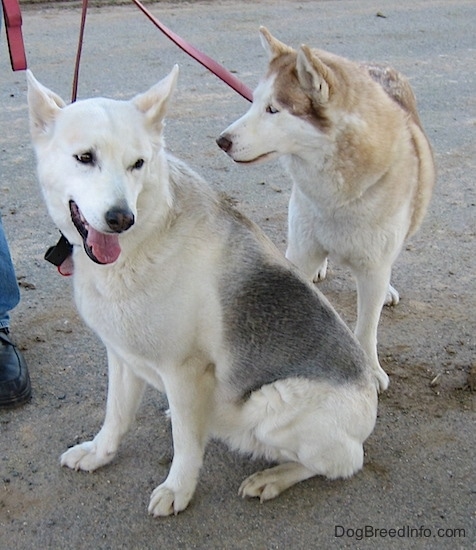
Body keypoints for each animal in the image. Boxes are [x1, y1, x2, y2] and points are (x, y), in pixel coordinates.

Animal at [27, 68, 378, 516]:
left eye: (138, 164)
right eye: (85, 157)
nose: (121, 218)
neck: (147, 237)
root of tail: (370, 401)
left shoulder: (184, 369)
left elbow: (186, 444)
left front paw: (179, 488)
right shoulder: (121, 356)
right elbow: (116, 416)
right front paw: (99, 452)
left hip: (270, 403)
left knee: (343, 462)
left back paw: (273, 477)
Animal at [218, 29, 436, 392]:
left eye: (273, 109)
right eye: (254, 102)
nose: (222, 141)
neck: (337, 195)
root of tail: (376, 65)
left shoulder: (373, 267)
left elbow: (367, 325)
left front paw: (370, 369)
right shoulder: (302, 250)